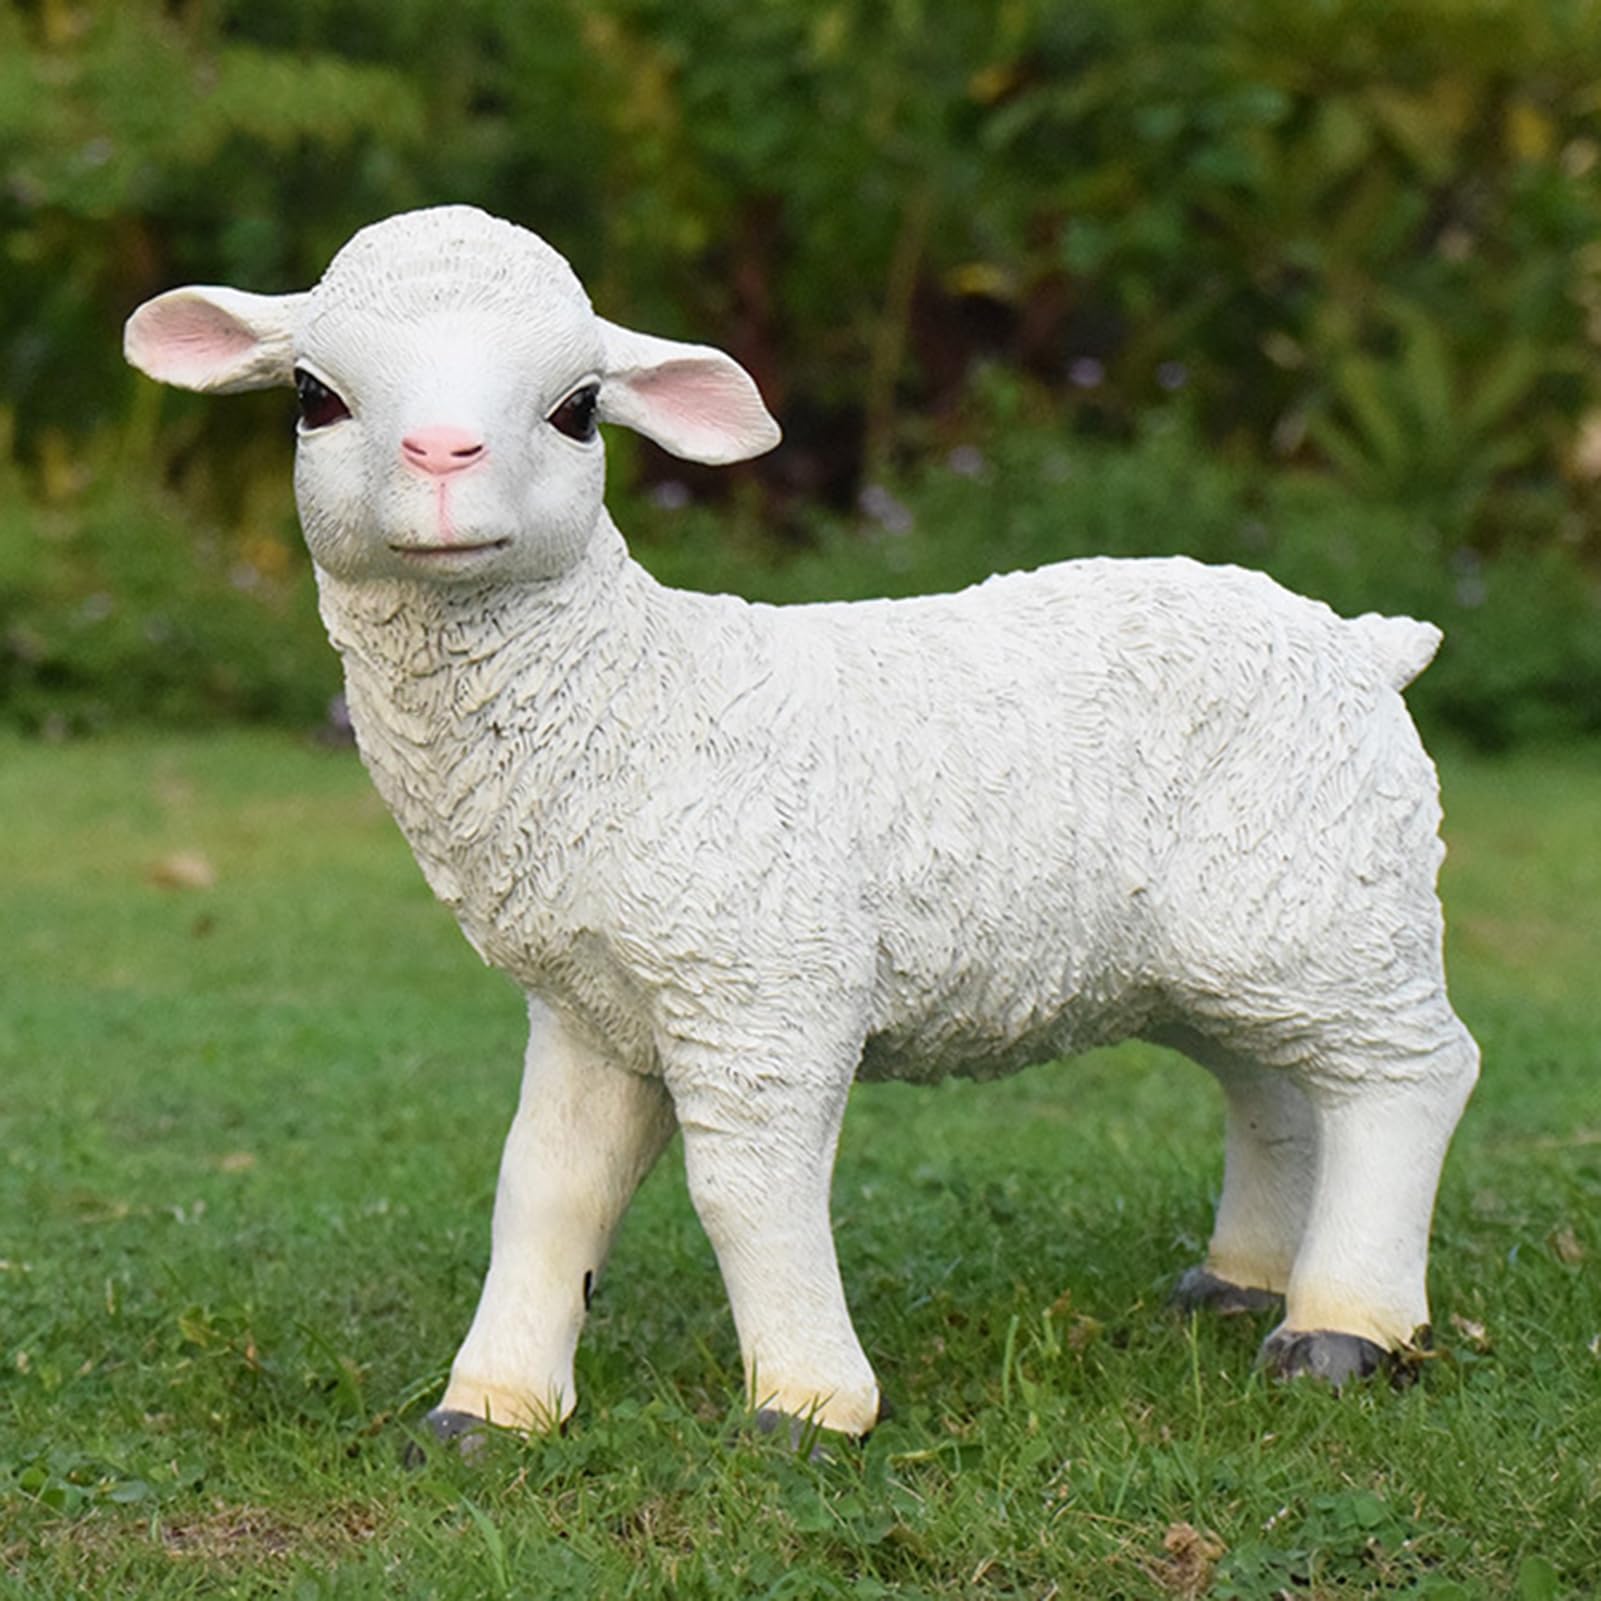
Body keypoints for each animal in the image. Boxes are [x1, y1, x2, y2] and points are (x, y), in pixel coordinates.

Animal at [124, 205, 1479, 1446]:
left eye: (577, 408)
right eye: (313, 396)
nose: (442, 452)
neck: (631, 700)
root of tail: (1362, 643)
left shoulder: (763, 985)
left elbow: (744, 1189)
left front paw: (808, 1403)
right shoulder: (592, 1005)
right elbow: (546, 1189)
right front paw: (490, 1407)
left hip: (1326, 893)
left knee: (1410, 1070)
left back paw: (1343, 1327)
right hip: (1224, 938)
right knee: (1275, 1083)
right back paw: (1239, 1281)